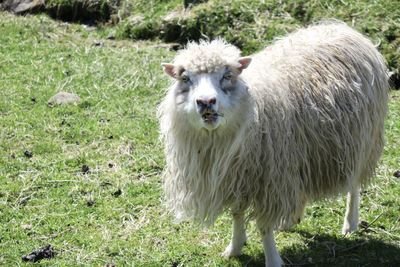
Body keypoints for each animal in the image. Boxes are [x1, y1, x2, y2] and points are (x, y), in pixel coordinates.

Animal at [157, 21, 388, 267]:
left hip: (360, 140)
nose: (206, 102)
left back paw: (350, 223)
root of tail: (343, 28)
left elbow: (264, 226)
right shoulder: (238, 177)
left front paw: (272, 259)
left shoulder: (269, 181)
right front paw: (234, 247)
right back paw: (291, 220)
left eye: (227, 76)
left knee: (354, 185)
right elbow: (237, 213)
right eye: (185, 79)